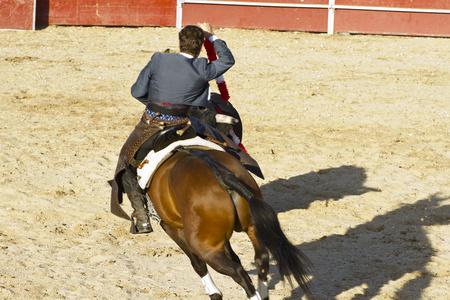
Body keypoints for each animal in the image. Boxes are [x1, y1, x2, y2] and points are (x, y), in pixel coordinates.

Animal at [146, 148, 314, 300]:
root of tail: (225, 177)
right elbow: (233, 256)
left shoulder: (171, 227)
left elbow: (197, 263)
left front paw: (214, 293)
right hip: (253, 228)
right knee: (261, 259)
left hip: (204, 247)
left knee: (237, 272)